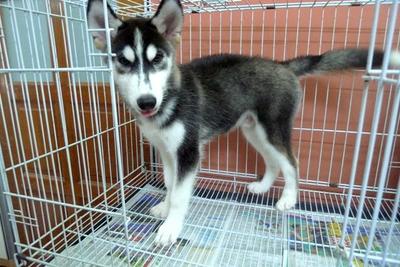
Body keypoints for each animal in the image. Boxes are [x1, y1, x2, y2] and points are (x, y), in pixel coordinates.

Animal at [86, 0, 398, 247]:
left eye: (158, 58)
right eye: (123, 61)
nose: (147, 102)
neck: (169, 97)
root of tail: (282, 65)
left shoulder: (188, 151)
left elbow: (180, 194)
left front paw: (170, 228)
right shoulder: (167, 151)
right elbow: (169, 183)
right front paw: (163, 207)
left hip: (273, 127)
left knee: (291, 162)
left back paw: (288, 199)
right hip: (253, 130)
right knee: (273, 162)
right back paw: (262, 188)